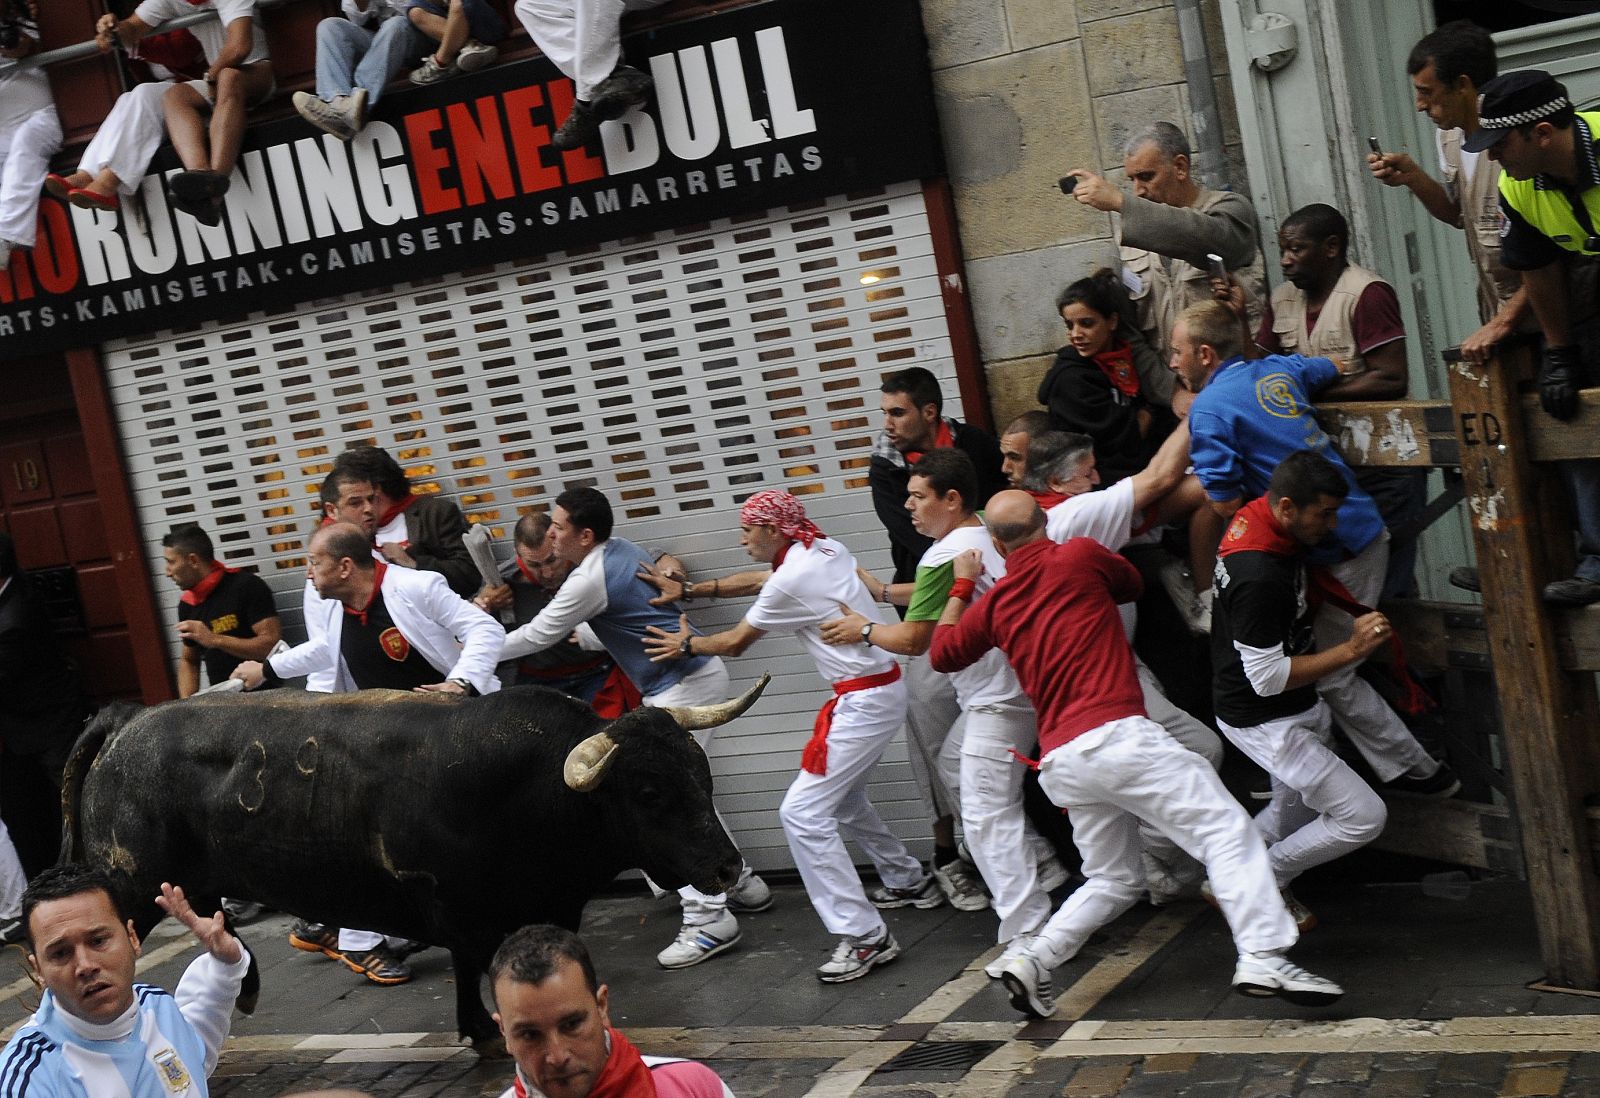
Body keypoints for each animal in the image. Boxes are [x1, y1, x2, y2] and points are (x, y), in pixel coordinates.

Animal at [59, 675, 764, 1056]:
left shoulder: (549, 908)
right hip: (128, 887)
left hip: (190, 887)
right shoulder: (458, 908)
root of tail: (130, 720)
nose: (727, 868)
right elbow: (469, 966)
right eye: (648, 792)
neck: (528, 789)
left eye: (701, 775)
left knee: (217, 928)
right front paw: (481, 1031)